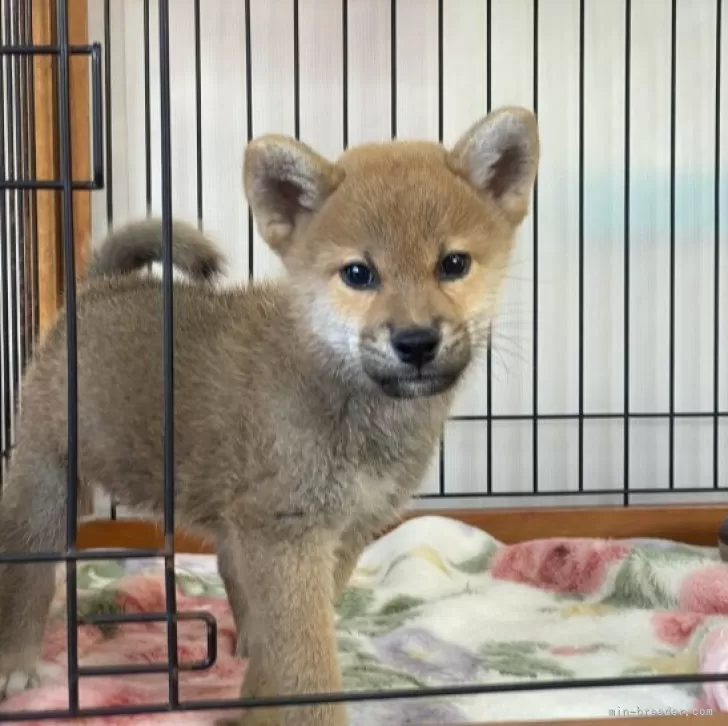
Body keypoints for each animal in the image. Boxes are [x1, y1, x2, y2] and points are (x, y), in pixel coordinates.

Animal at [0, 108, 536, 726]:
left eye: (453, 264)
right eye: (359, 274)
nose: (416, 341)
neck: (345, 392)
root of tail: (98, 289)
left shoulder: (339, 533)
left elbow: (290, 650)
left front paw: (256, 703)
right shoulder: (290, 533)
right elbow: (310, 666)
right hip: (48, 475)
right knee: (28, 571)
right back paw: (17, 662)